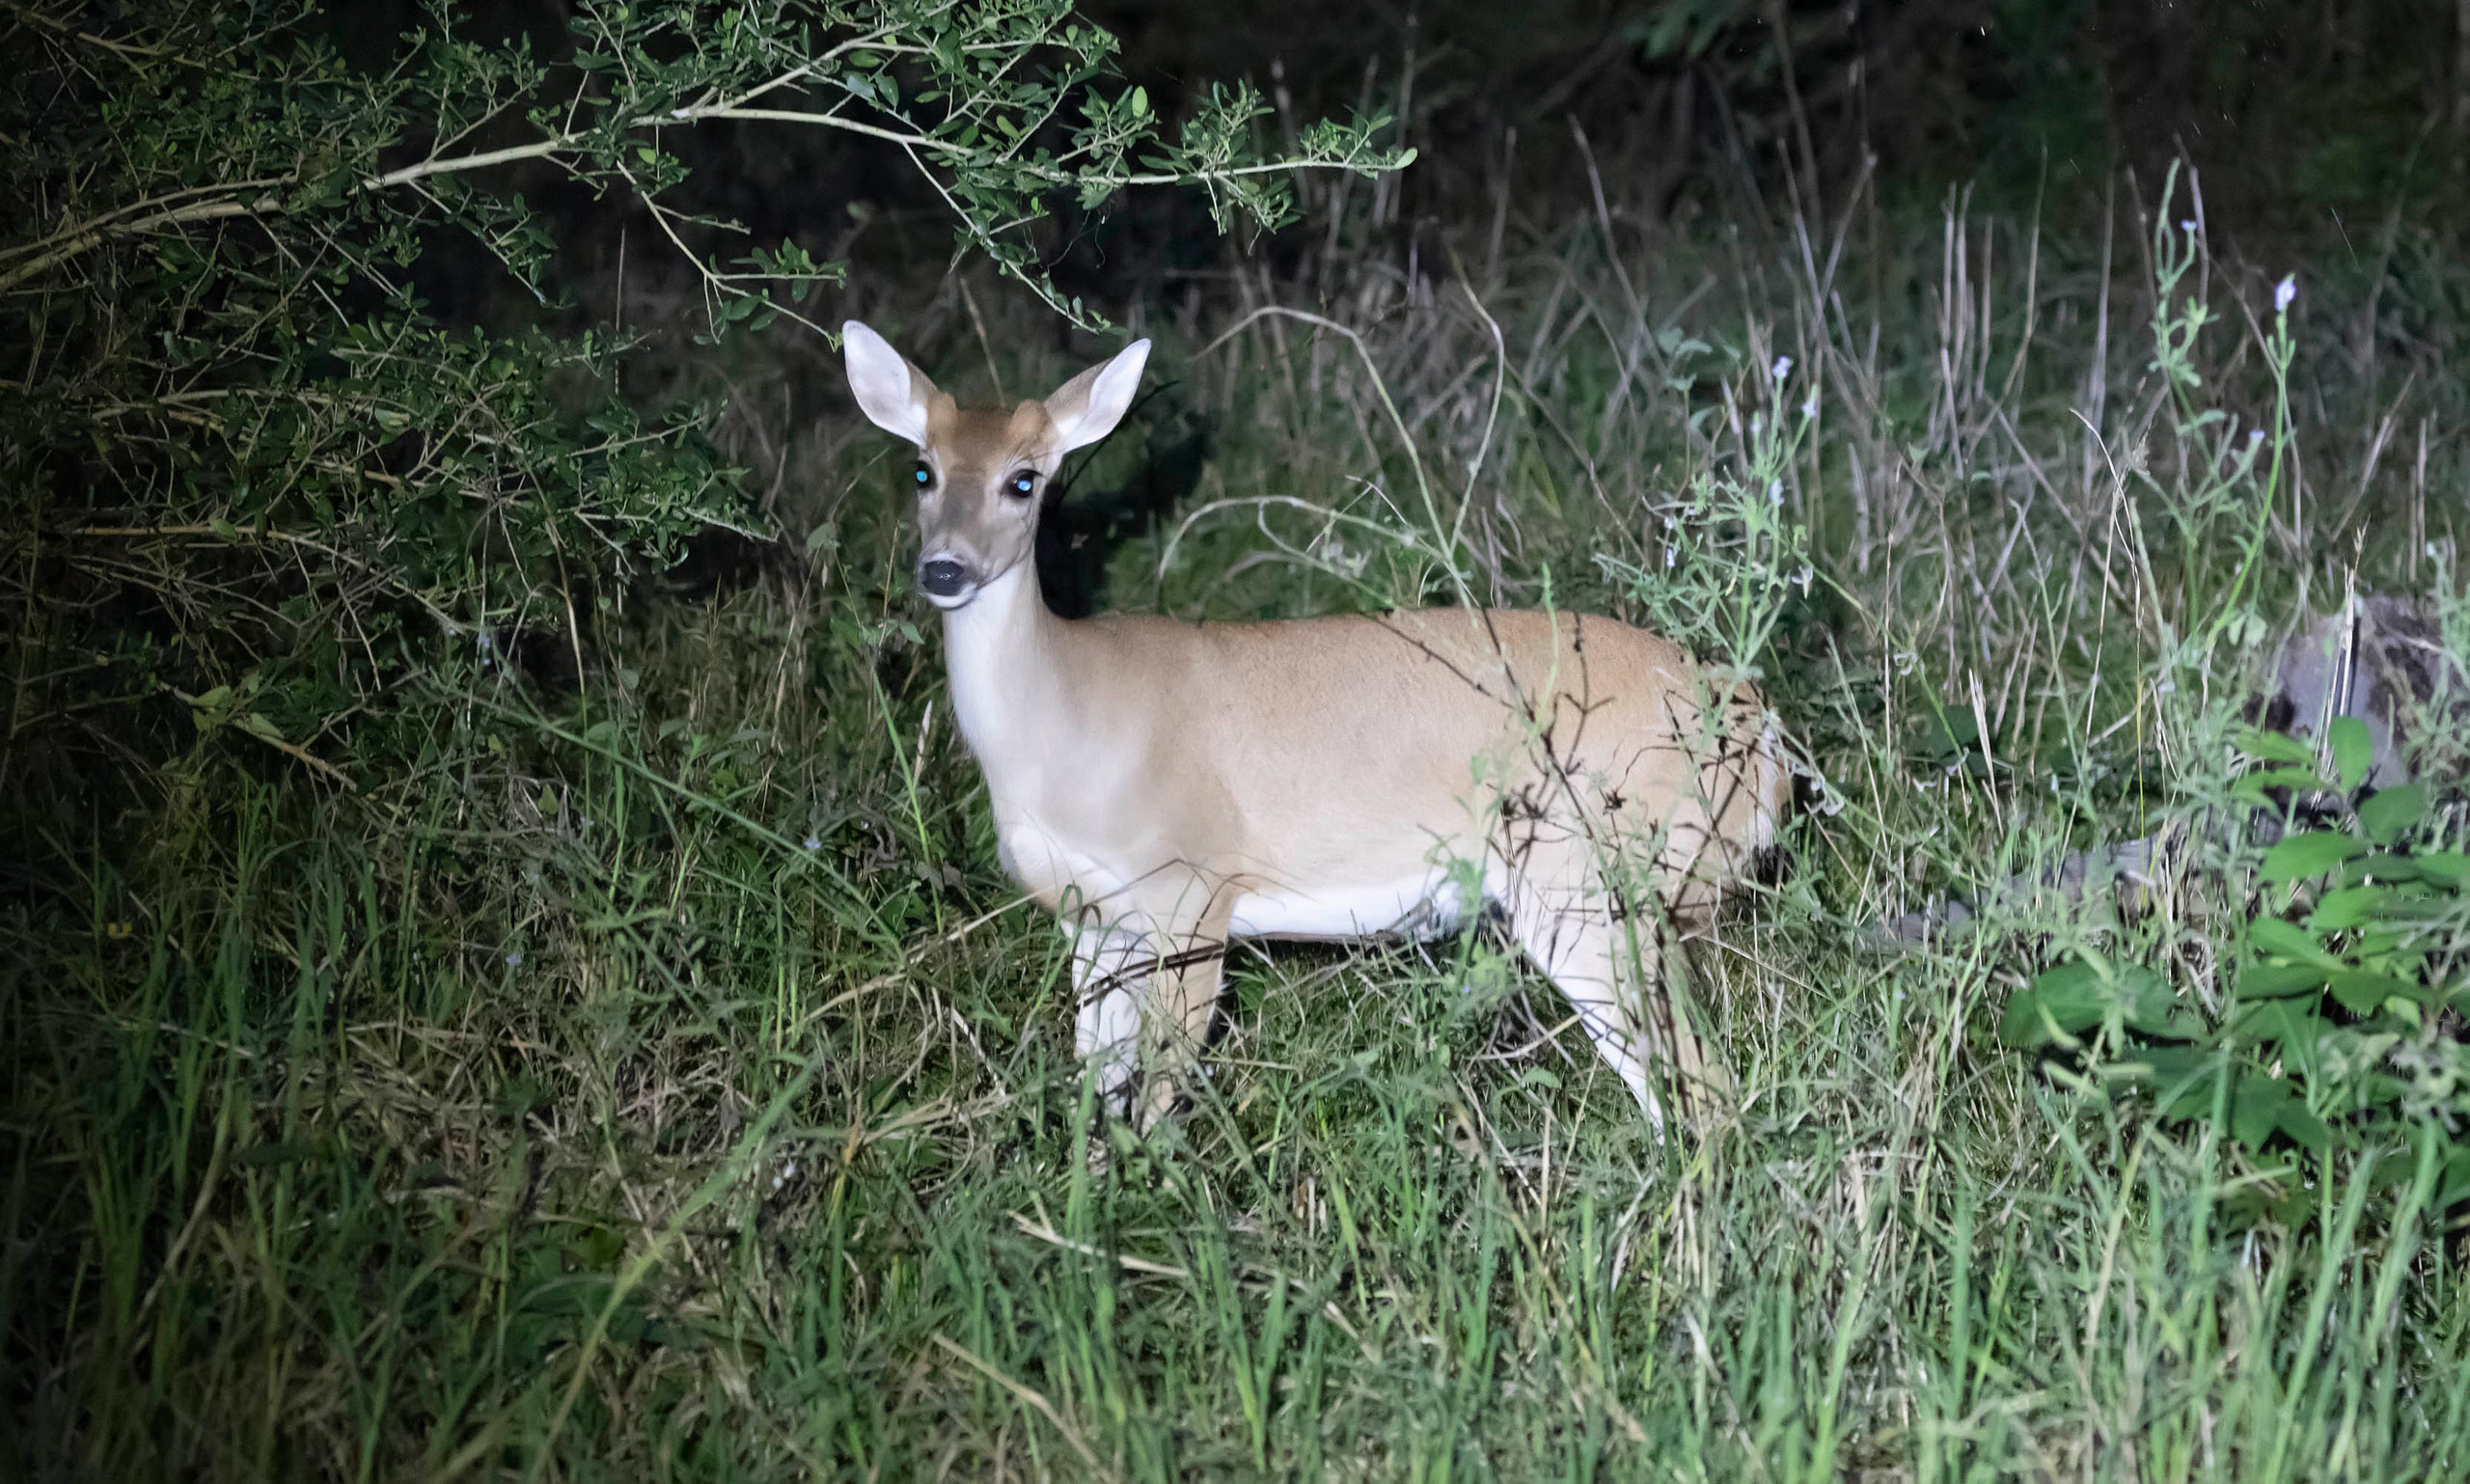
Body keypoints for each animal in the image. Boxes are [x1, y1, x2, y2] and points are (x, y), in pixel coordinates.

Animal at [841, 320, 1788, 1137]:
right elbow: (1095, 1090)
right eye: (922, 471)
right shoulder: (1092, 922)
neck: (1063, 725)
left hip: (1587, 876)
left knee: (1696, 1080)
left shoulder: (1193, 893)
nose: (944, 569)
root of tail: (1757, 730)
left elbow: (1160, 1096)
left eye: (1024, 479)